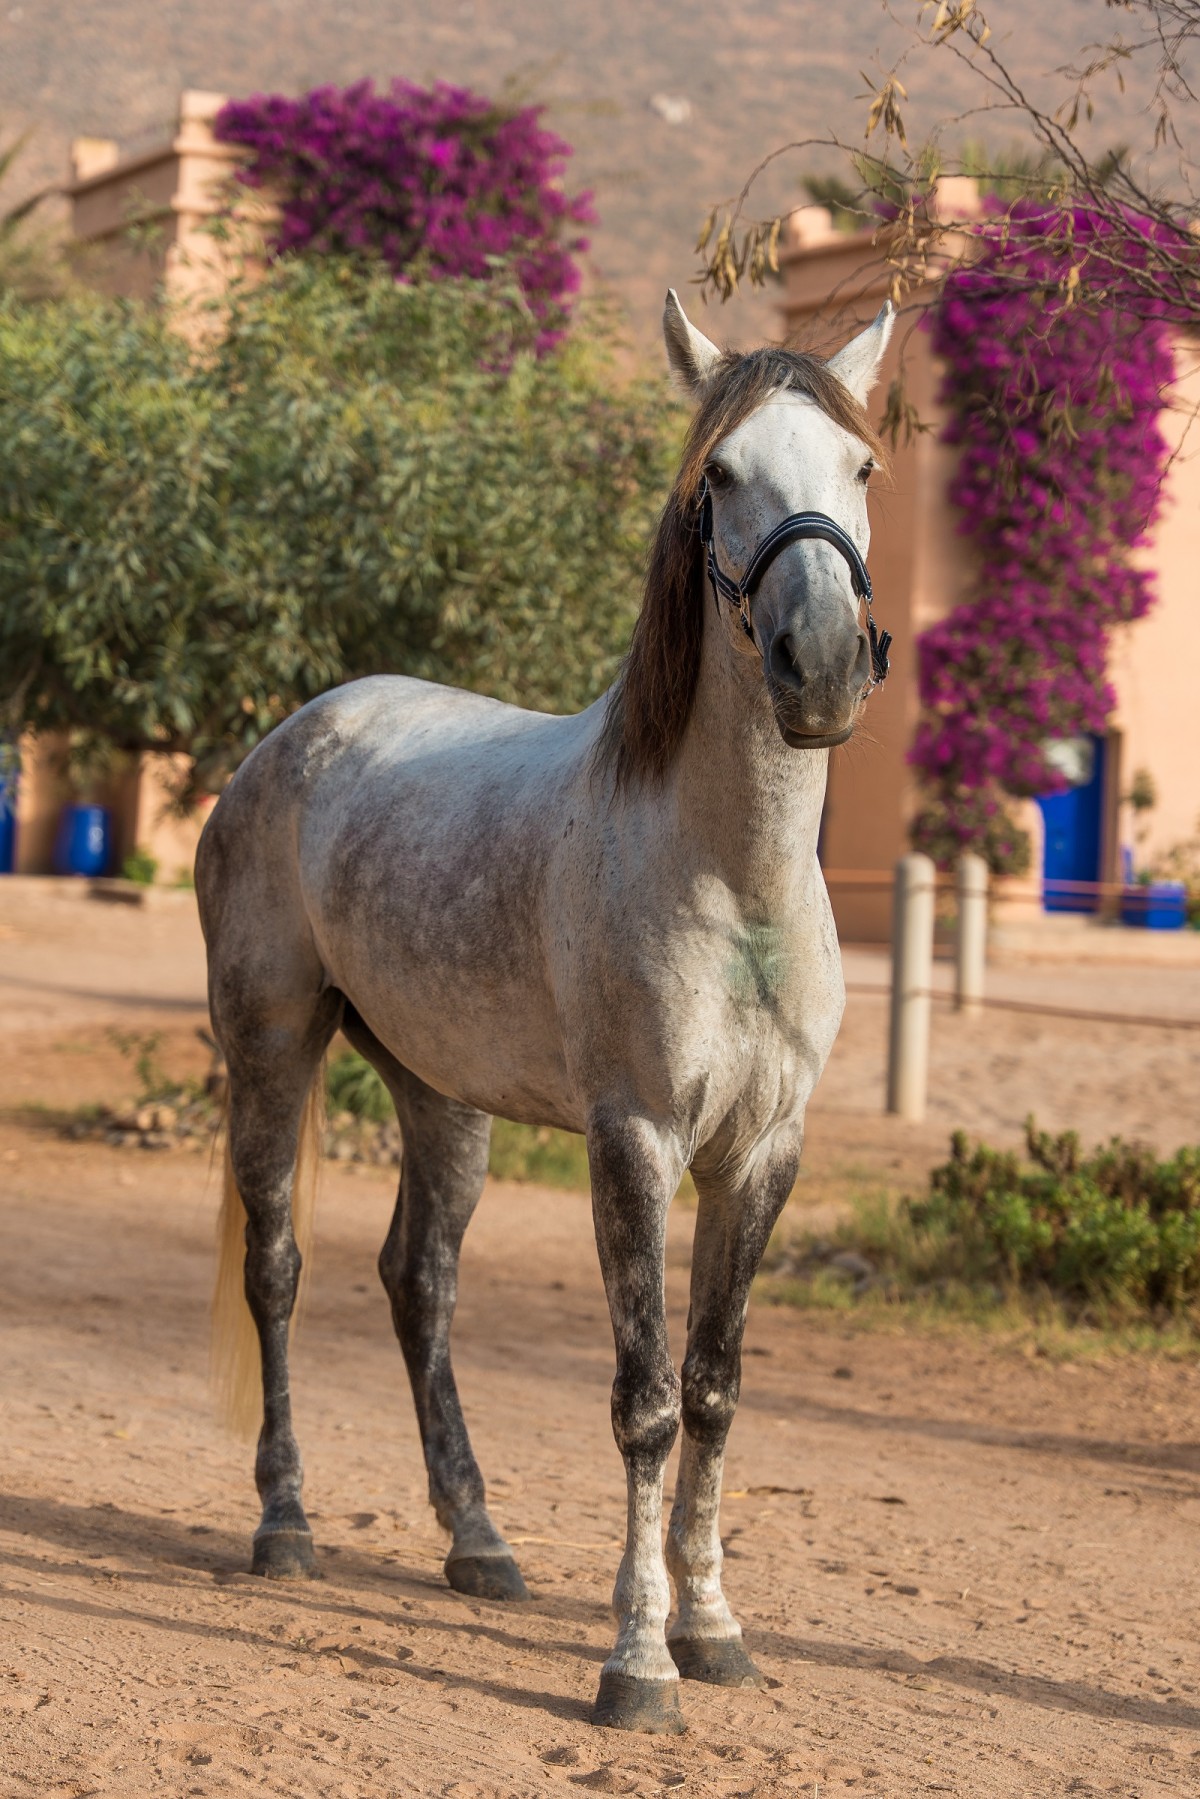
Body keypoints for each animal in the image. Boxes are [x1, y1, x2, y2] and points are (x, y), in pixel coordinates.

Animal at [200, 289, 894, 1736]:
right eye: (717, 477)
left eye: (861, 467)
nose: (820, 666)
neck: (727, 878)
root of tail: (289, 739)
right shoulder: (635, 1140)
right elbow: (645, 1399)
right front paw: (636, 1662)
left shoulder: (763, 1154)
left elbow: (716, 1387)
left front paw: (713, 1626)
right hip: (272, 1051)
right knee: (276, 1270)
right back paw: (286, 1523)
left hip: (438, 1093)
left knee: (421, 1281)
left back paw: (478, 1541)